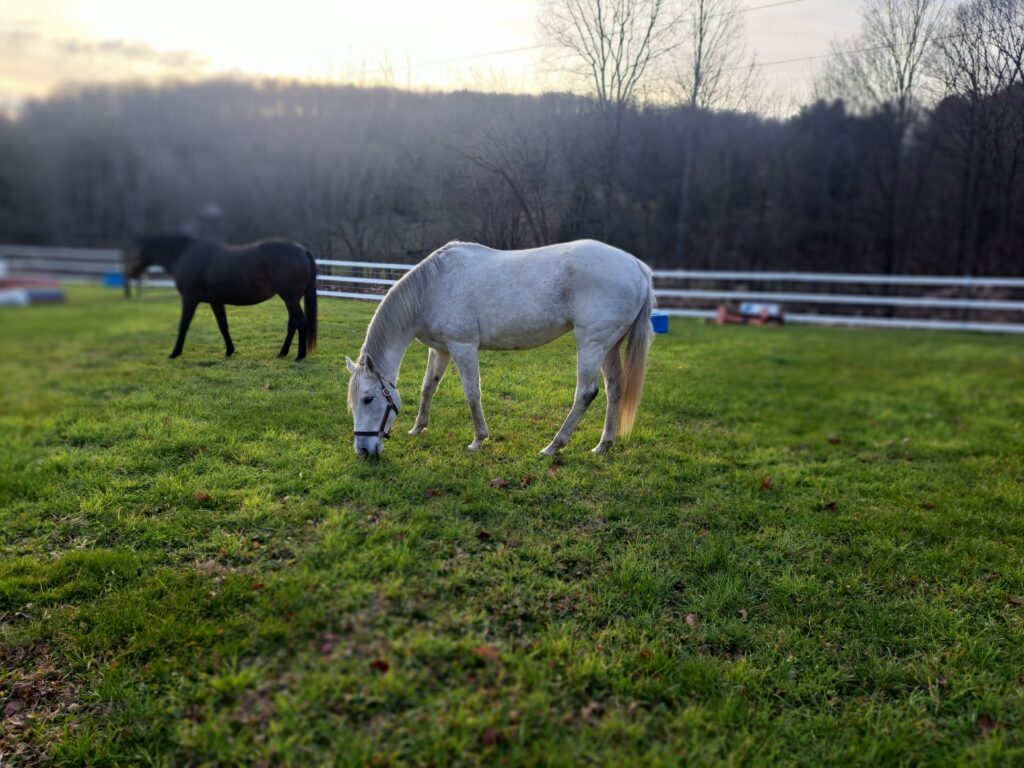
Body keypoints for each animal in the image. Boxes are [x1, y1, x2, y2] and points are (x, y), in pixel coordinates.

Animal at [129, 235, 318, 361]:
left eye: (137, 250)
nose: (130, 273)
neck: (184, 255)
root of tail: (302, 250)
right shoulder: (216, 301)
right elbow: (223, 325)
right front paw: (229, 351)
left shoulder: (190, 299)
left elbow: (183, 325)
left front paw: (175, 353)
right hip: (291, 299)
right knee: (293, 324)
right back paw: (282, 353)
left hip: (290, 298)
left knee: (300, 322)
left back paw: (299, 356)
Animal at [345, 239, 654, 458]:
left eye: (368, 399)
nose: (363, 451)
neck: (432, 288)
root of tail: (638, 267)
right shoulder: (441, 350)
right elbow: (427, 388)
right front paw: (418, 428)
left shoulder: (463, 346)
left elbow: (472, 393)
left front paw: (478, 440)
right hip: (610, 346)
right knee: (615, 389)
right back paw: (603, 445)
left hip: (591, 344)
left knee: (586, 393)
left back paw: (553, 446)